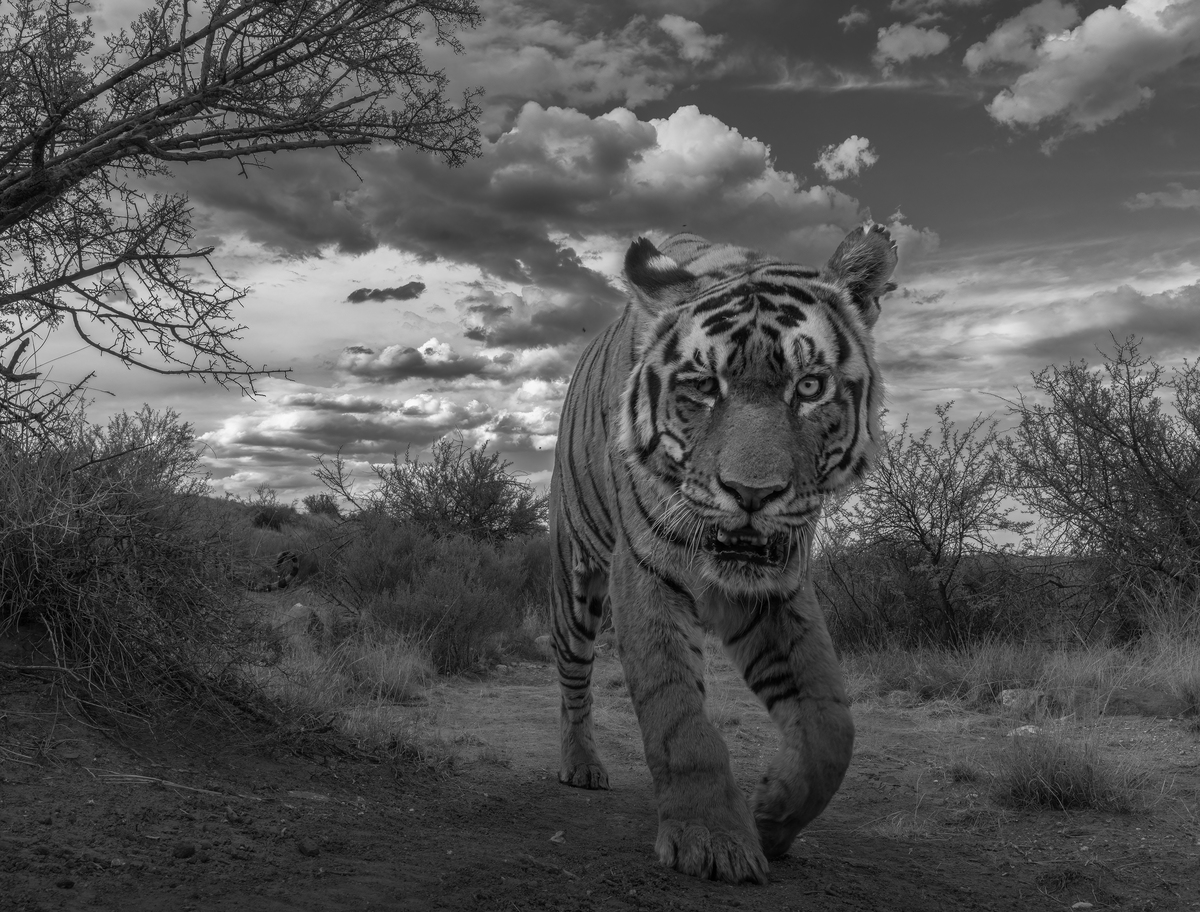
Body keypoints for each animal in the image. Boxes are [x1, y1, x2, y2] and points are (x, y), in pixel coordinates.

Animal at [548, 223, 897, 884]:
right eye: (705, 387)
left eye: (809, 386)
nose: (752, 494)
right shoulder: (646, 573)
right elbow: (677, 713)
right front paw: (710, 841)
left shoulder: (777, 588)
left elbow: (830, 725)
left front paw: (771, 819)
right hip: (576, 578)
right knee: (574, 678)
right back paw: (580, 765)